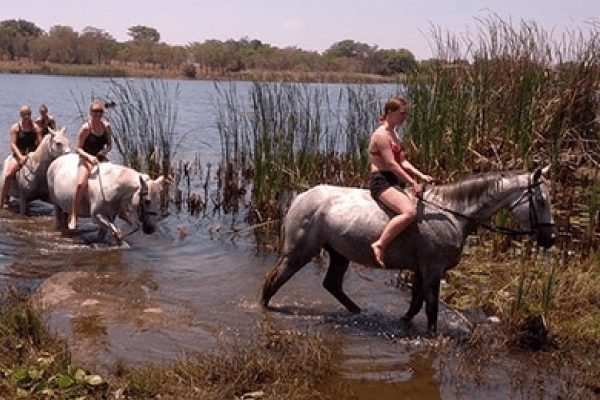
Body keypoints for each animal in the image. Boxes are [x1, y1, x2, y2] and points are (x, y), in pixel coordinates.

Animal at [262, 167, 556, 332]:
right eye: (541, 201)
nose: (550, 238)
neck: (452, 213)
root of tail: (300, 197)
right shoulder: (433, 269)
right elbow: (431, 308)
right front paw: (432, 337)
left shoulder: (421, 269)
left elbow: (415, 305)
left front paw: (403, 323)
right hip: (299, 252)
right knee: (273, 282)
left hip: (338, 254)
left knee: (332, 284)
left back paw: (359, 313)